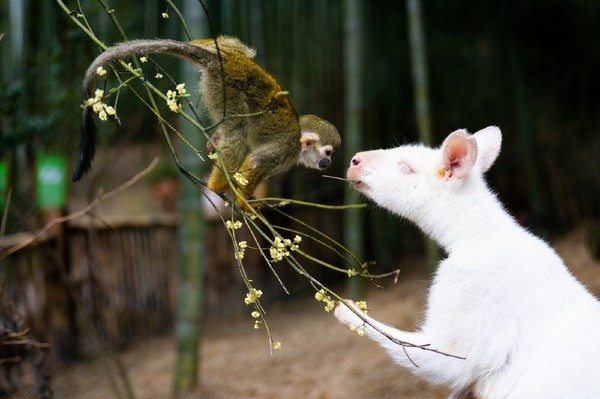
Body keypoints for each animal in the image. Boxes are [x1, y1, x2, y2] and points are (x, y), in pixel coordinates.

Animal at [72, 35, 340, 208]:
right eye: (328, 152)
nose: (327, 162)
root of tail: (225, 63)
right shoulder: (285, 152)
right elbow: (256, 161)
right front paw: (247, 205)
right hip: (225, 90)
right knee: (238, 130)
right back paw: (217, 185)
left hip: (220, 72)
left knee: (240, 50)